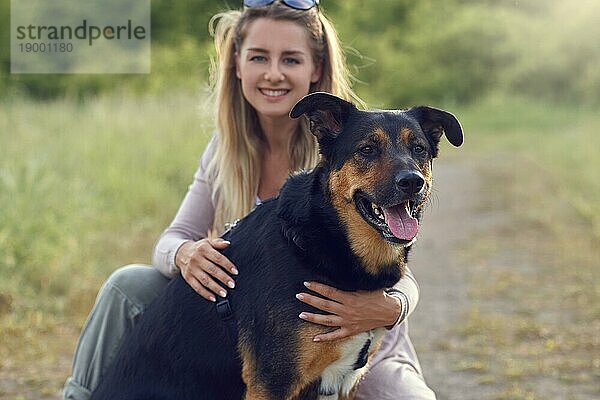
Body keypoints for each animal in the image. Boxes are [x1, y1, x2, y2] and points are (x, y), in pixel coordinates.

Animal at [90, 92, 464, 398]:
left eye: (418, 149)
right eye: (367, 150)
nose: (412, 182)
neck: (323, 240)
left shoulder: (342, 383)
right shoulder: (273, 382)